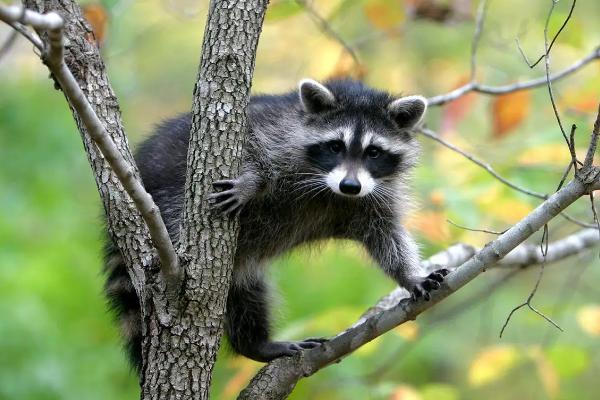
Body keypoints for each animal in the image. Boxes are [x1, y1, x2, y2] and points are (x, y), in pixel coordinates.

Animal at [104, 79, 450, 372]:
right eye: (335, 146)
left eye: (374, 152)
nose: (350, 186)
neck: (331, 190)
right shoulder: (276, 130)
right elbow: (251, 145)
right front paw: (251, 181)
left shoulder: (374, 197)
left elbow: (386, 237)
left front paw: (410, 275)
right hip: (169, 201)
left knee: (246, 294)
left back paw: (255, 343)